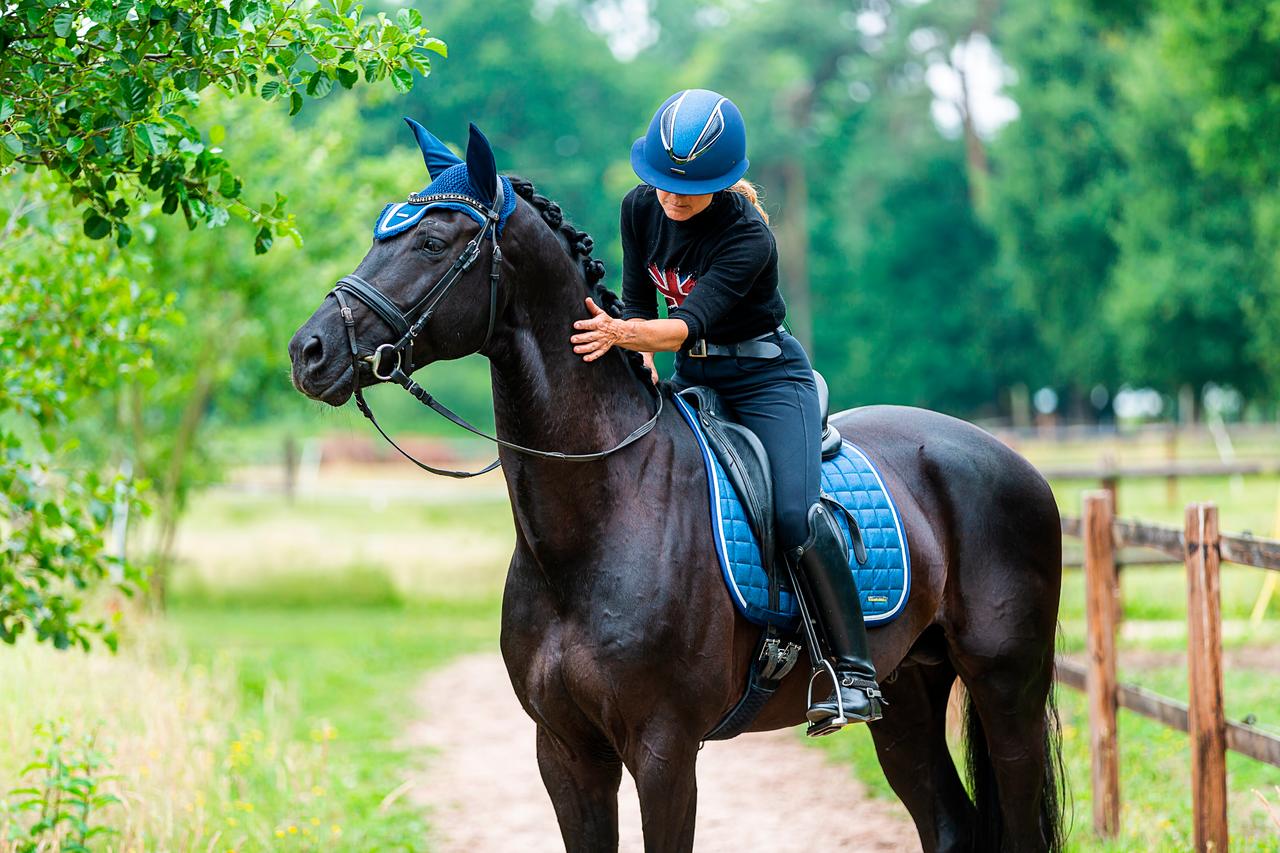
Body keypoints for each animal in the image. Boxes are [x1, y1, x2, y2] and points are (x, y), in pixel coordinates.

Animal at [293, 126, 1070, 850]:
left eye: (430, 242)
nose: (310, 350)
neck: (603, 515)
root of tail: (1013, 460)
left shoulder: (664, 750)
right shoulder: (565, 752)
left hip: (1008, 692)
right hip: (908, 694)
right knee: (949, 824)